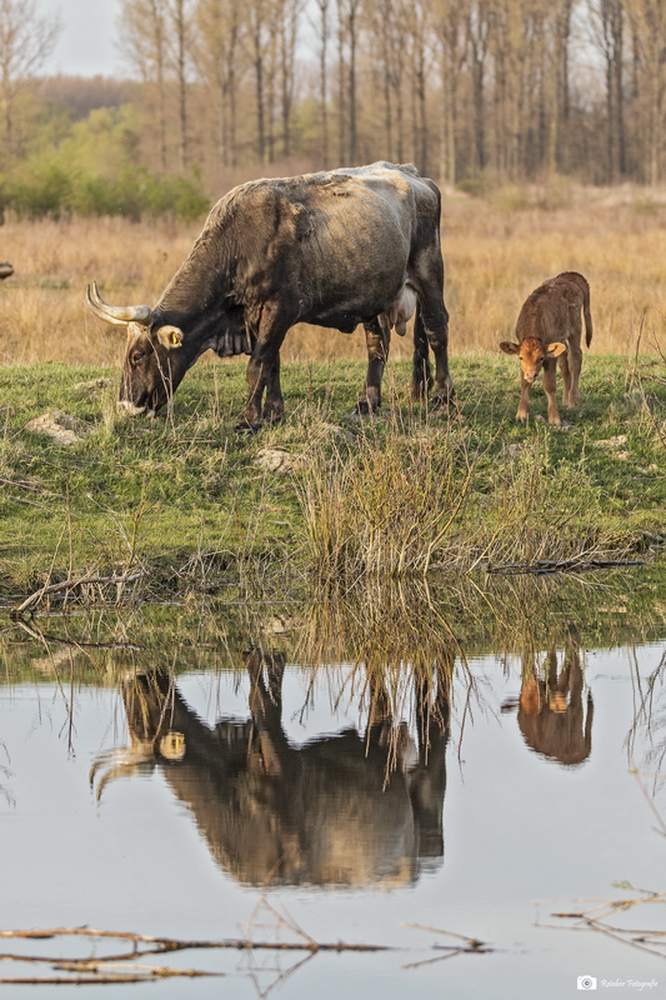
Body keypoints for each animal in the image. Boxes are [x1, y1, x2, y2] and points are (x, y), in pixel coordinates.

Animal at [85, 162, 452, 432]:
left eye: (138, 356)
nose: (126, 405)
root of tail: (413, 174)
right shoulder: (256, 319)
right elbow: (271, 363)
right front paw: (274, 413)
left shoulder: (279, 309)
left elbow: (258, 364)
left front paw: (249, 419)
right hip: (375, 296)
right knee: (377, 347)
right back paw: (366, 404)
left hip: (429, 272)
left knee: (436, 331)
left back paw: (442, 398)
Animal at [91, 652, 448, 888]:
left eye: (144, 715)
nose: (130, 676)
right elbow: (264, 685)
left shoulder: (285, 767)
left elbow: (261, 703)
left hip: (429, 788)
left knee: (436, 719)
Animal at [498, 272, 592, 428]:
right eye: (521, 357)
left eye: (541, 358)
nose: (531, 374)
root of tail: (566, 277)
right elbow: (524, 383)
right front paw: (521, 414)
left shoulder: (550, 357)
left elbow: (549, 384)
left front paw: (554, 418)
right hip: (562, 340)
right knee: (565, 363)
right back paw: (566, 398)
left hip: (575, 329)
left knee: (575, 359)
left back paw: (573, 399)